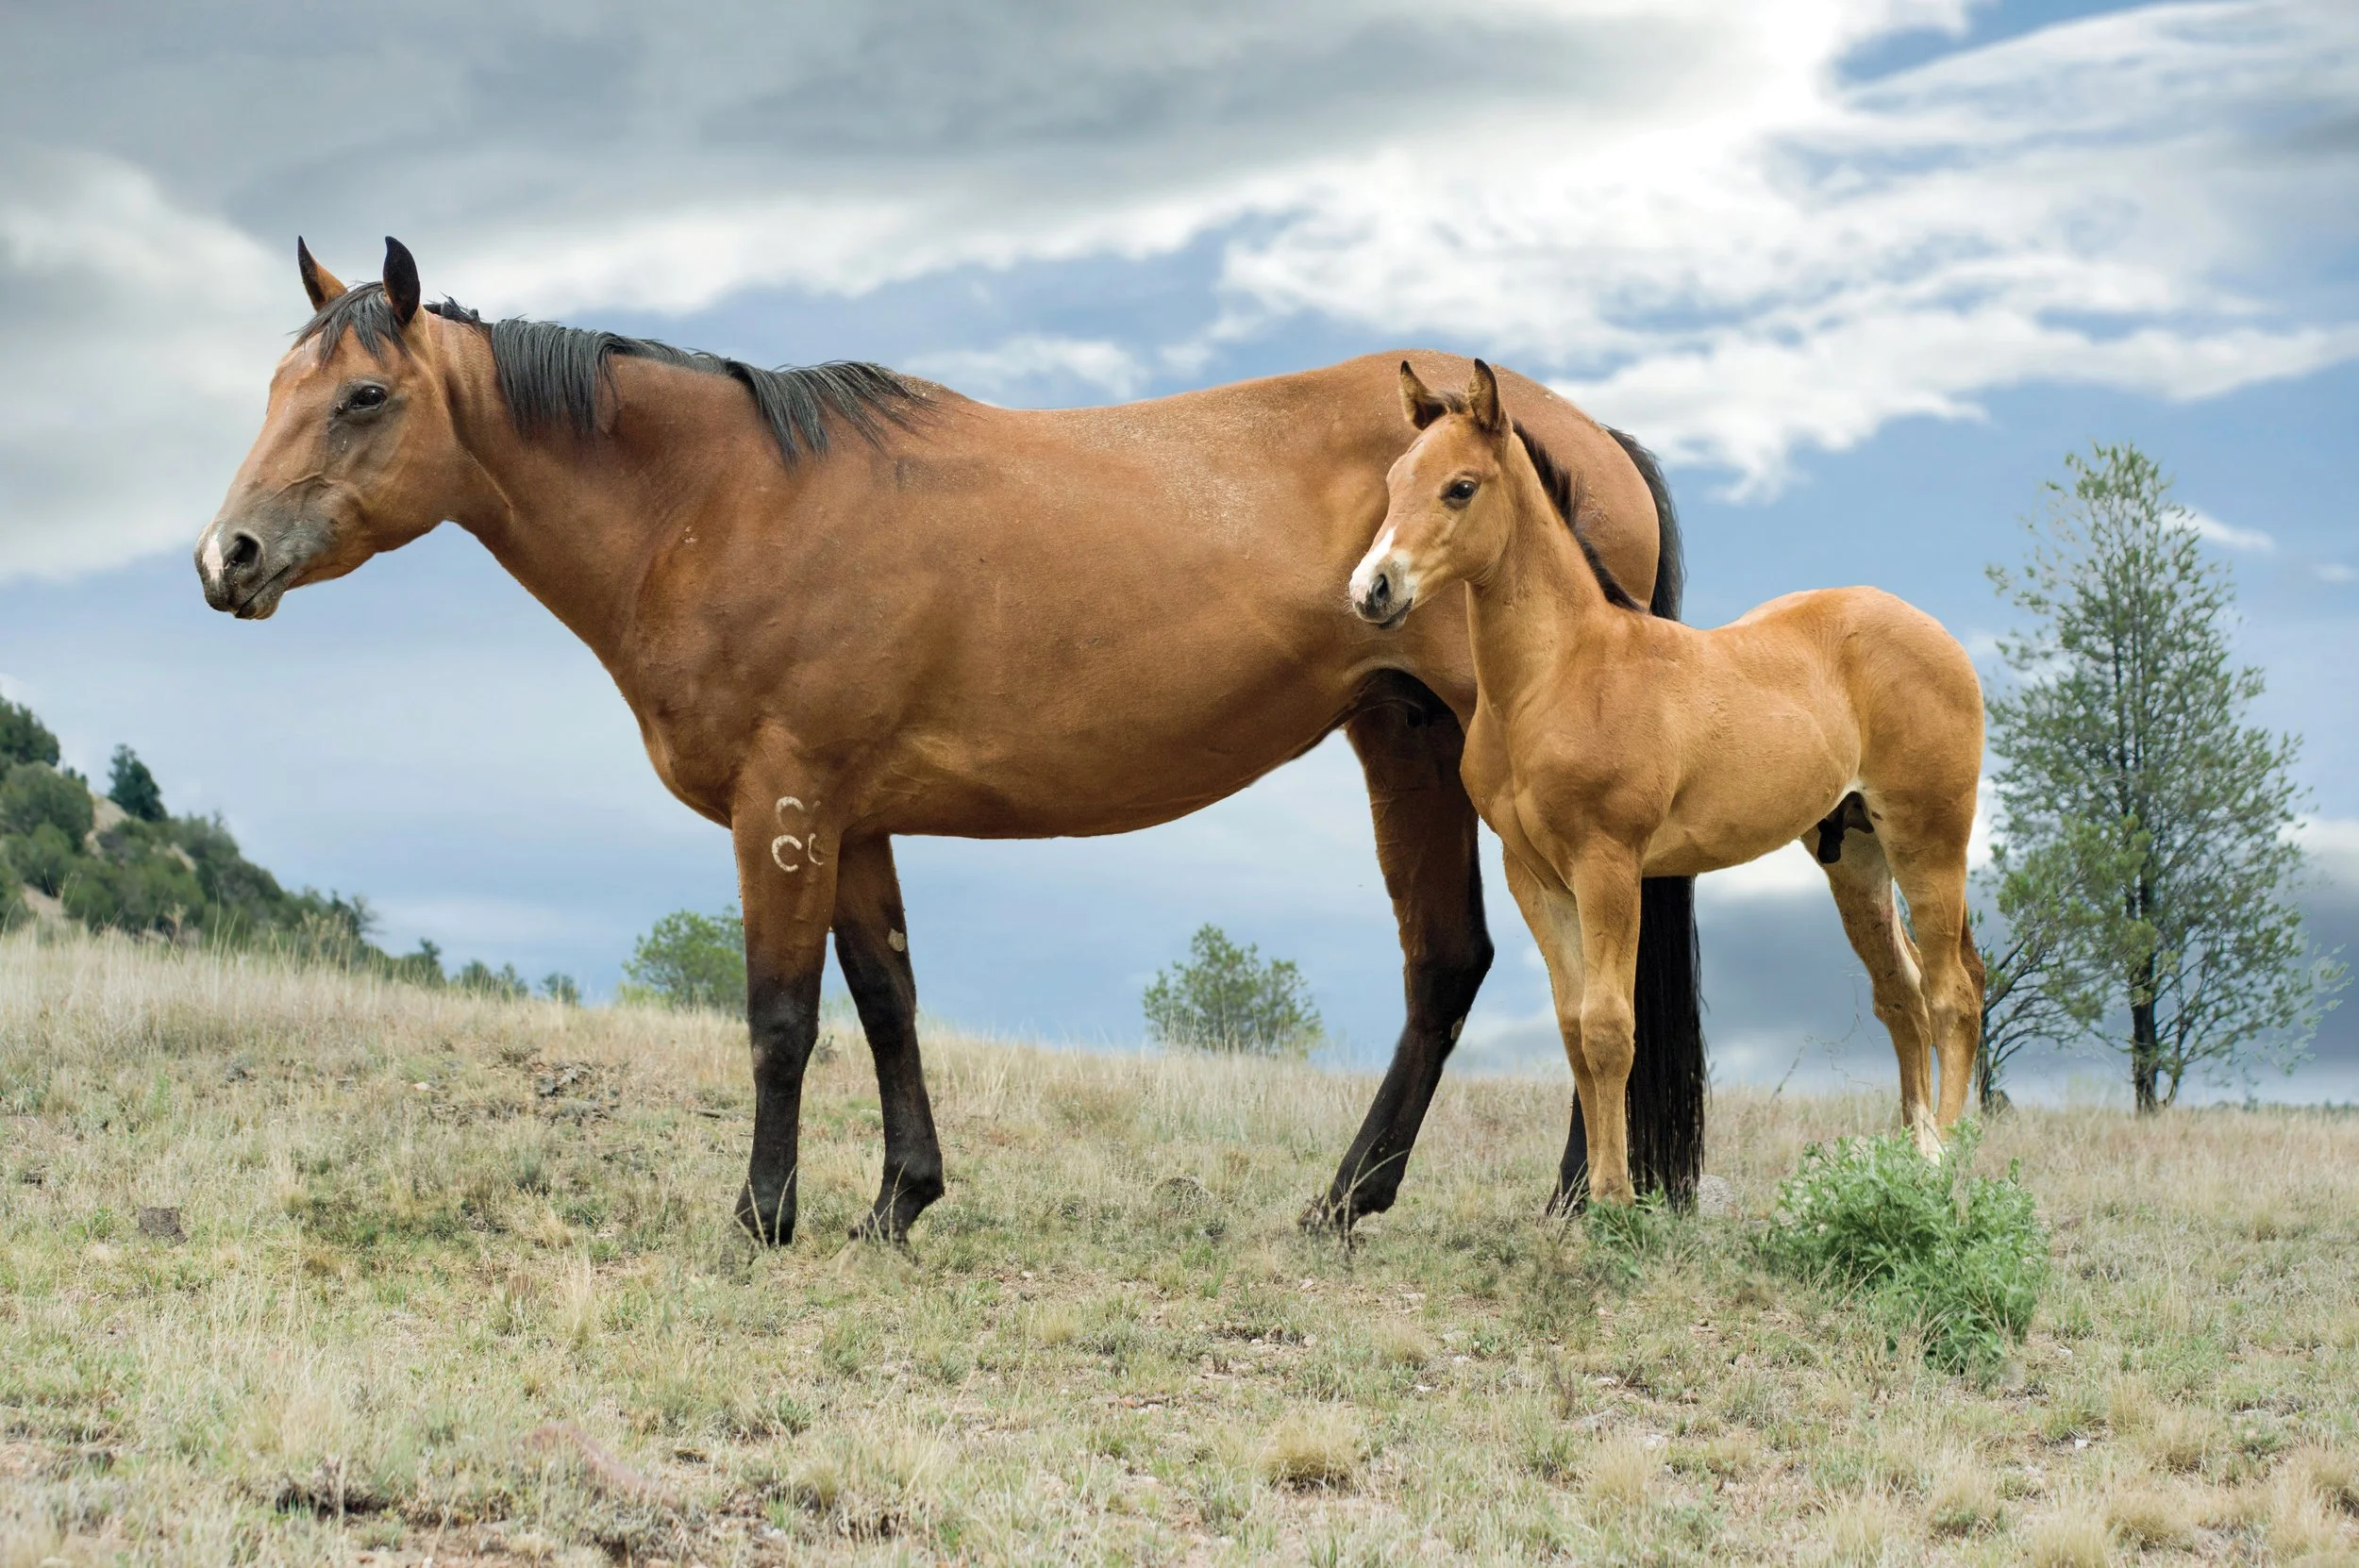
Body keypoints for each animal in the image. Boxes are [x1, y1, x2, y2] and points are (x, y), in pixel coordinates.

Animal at [196, 236, 1704, 1243]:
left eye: (365, 398)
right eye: (274, 387)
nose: (228, 557)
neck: (727, 503)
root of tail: (1583, 434)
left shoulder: (784, 807)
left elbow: (782, 1019)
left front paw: (763, 1218)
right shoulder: (853, 815)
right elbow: (888, 1001)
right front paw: (897, 1203)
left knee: (1575, 969)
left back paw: (1570, 1204)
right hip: (1406, 742)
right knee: (1458, 966)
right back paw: (1380, 1202)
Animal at [1351, 362, 1985, 1203]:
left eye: (1460, 487)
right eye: (1394, 479)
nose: (1372, 590)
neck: (1558, 675)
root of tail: (1937, 634)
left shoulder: (1610, 866)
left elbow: (1610, 1029)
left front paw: (1614, 1203)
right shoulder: (1535, 877)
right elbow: (1573, 1030)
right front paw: (1590, 1197)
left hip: (1929, 840)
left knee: (1953, 995)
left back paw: (1945, 1168)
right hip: (1854, 853)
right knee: (1902, 994)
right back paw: (1910, 1165)